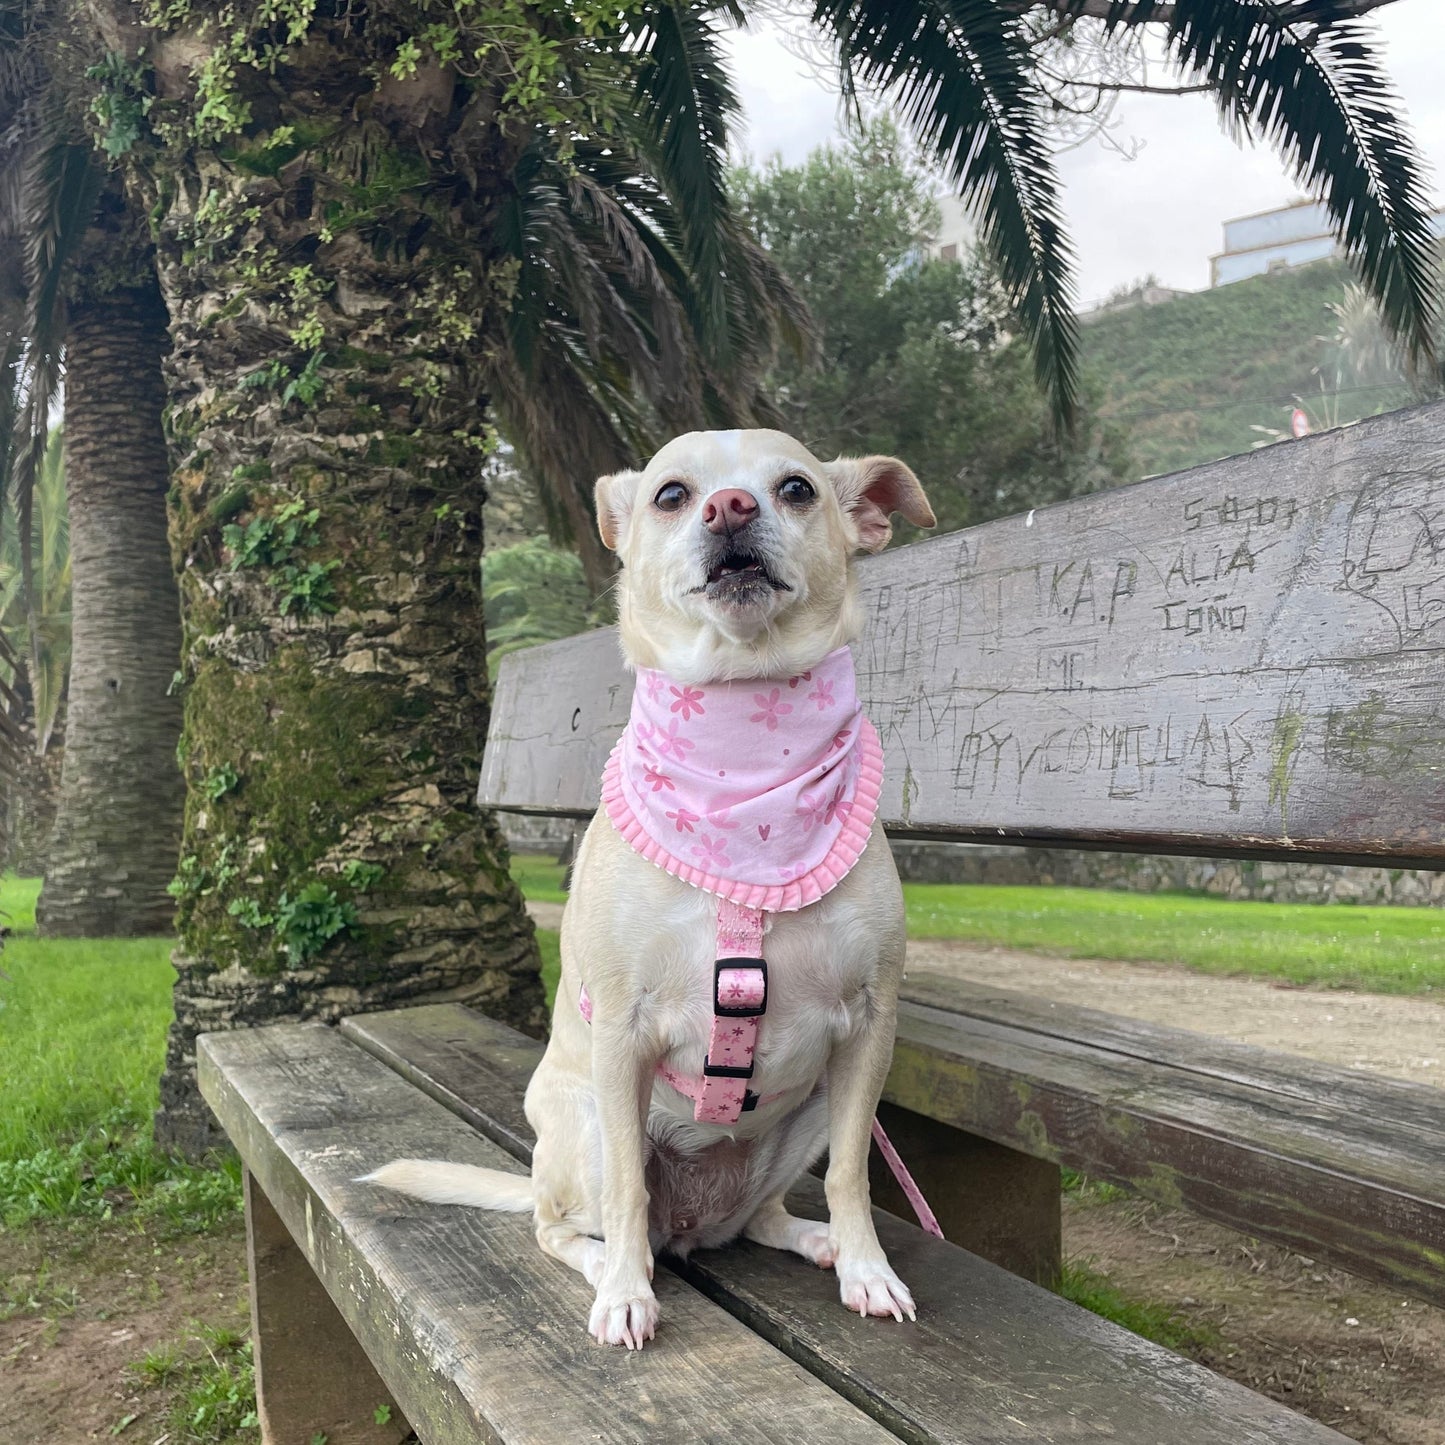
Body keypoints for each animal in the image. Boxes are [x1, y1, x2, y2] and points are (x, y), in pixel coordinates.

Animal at [369, 424, 936, 1340]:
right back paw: (610, 1265)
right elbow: (629, 1192)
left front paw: (866, 1268)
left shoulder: (866, 1031)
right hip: (586, 1123)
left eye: (796, 488)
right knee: (564, 1221)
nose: (729, 506)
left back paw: (810, 1239)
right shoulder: (622, 1034)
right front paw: (627, 1296)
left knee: (762, 1214)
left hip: (810, 1107)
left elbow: (852, 1173)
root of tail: (692, 1224)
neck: (744, 746)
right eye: (671, 494)